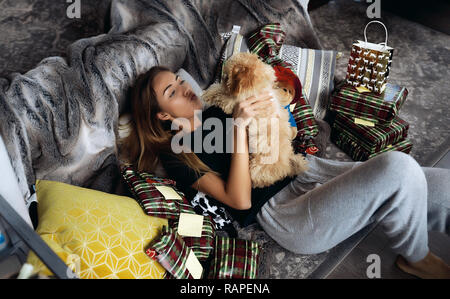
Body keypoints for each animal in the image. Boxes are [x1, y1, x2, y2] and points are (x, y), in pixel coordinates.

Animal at [202, 51, 308, 188]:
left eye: (226, 77)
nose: (223, 80)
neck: (258, 85)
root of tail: (288, 164)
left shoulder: (233, 101)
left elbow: (220, 94)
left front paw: (206, 93)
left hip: (259, 168)